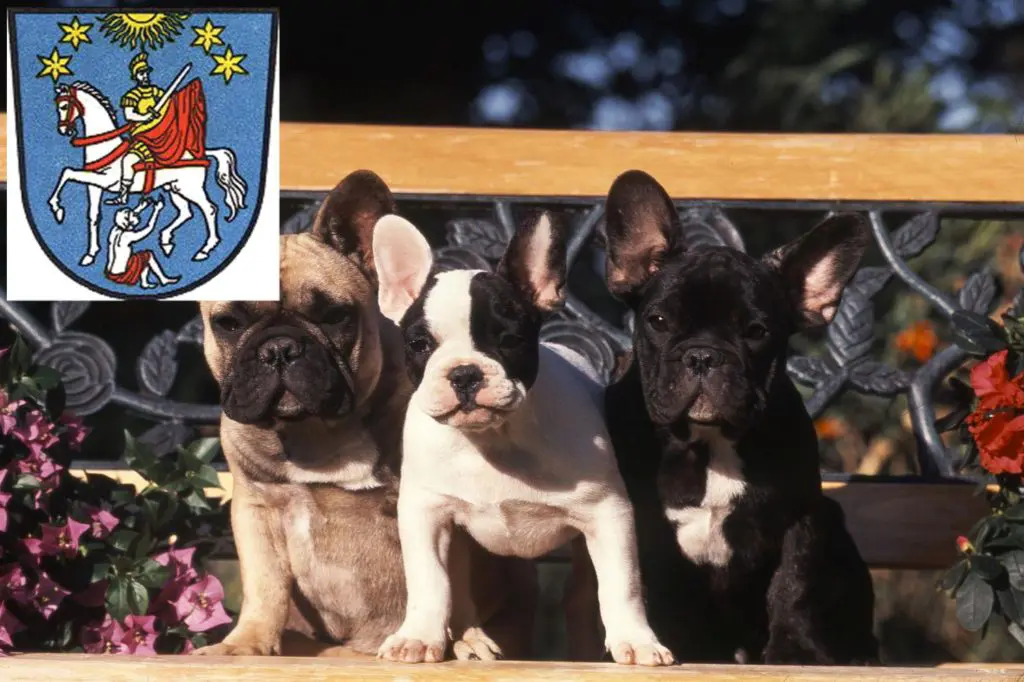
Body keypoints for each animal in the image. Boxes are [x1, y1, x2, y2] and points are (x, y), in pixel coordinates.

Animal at [48, 80, 248, 264]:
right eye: (57, 106)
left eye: (64, 106)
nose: (63, 130)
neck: (105, 147)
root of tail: (200, 153)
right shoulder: (94, 185)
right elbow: (93, 215)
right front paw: (90, 254)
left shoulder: (105, 180)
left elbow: (67, 172)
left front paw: (57, 209)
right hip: (175, 189)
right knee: (186, 212)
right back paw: (166, 240)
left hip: (190, 188)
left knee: (210, 209)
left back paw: (205, 249)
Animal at [372, 208, 675, 663]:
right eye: (419, 344)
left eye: (509, 340)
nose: (464, 373)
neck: (495, 439)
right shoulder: (426, 512)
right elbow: (430, 581)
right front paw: (418, 637)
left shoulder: (609, 515)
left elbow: (621, 585)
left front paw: (637, 641)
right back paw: (469, 639)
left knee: (581, 596)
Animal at [602, 169, 876, 663]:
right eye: (658, 321)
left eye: (756, 332)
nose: (703, 355)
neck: (709, 441)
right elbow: (645, 587)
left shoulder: (802, 515)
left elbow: (792, 586)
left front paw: (794, 653)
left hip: (836, 528)